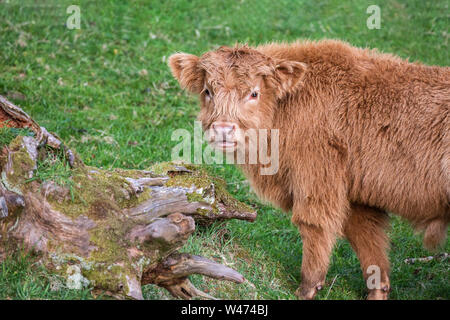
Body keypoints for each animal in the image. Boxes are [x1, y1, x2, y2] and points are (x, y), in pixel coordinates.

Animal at [170, 40, 450, 300]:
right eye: (208, 91)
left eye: (254, 93)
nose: (223, 129)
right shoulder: (357, 199)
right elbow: (371, 251)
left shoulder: (317, 180)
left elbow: (314, 227)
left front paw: (306, 289)